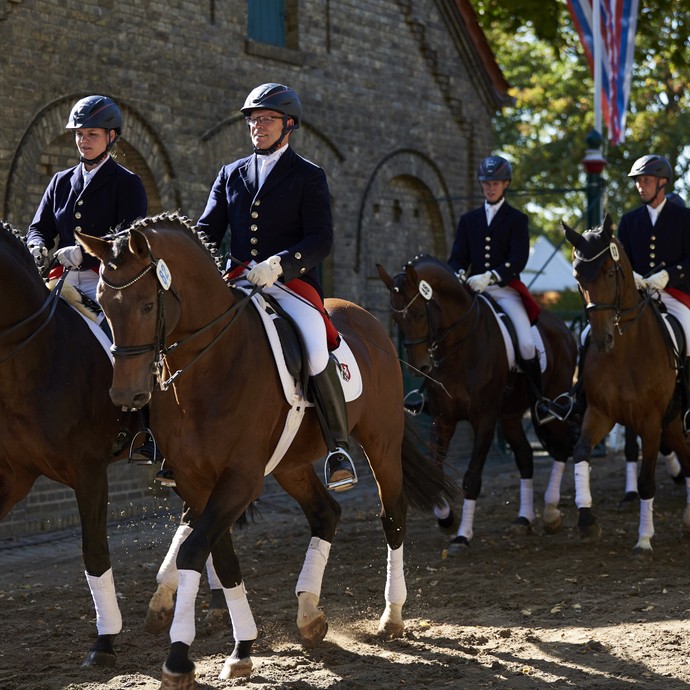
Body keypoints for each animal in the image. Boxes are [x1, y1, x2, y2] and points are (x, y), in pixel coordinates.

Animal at [76, 212, 456, 684]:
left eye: (147, 305)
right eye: (103, 305)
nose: (126, 395)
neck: (209, 367)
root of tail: (364, 320)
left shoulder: (239, 479)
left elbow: (194, 551)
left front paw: (180, 657)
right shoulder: (197, 482)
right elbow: (219, 558)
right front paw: (241, 649)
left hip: (381, 443)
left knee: (392, 517)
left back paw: (392, 615)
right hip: (290, 464)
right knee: (326, 513)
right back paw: (309, 614)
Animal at [374, 255, 576, 552]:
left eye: (420, 313)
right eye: (396, 319)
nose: (420, 367)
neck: (459, 346)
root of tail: (564, 328)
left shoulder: (485, 420)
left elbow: (471, 478)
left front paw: (462, 535)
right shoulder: (443, 419)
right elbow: (436, 470)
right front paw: (446, 518)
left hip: (551, 402)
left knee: (561, 448)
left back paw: (551, 514)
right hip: (511, 416)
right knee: (525, 457)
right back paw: (523, 519)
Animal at [560, 216, 688, 552]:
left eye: (609, 272)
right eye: (577, 275)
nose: (602, 339)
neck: (626, 350)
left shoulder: (651, 422)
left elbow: (646, 481)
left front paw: (644, 539)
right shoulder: (600, 413)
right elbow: (581, 452)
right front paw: (587, 521)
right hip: (672, 423)